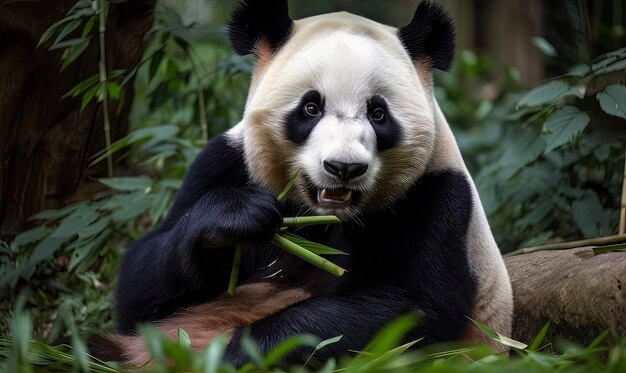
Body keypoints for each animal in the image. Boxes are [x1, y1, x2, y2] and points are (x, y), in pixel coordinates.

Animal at [103, 0, 512, 366]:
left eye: (378, 113)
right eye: (311, 107)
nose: (344, 167)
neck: (323, 213)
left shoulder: (437, 191)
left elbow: (413, 305)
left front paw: (242, 350)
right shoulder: (225, 162)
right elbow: (141, 292)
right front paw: (236, 218)